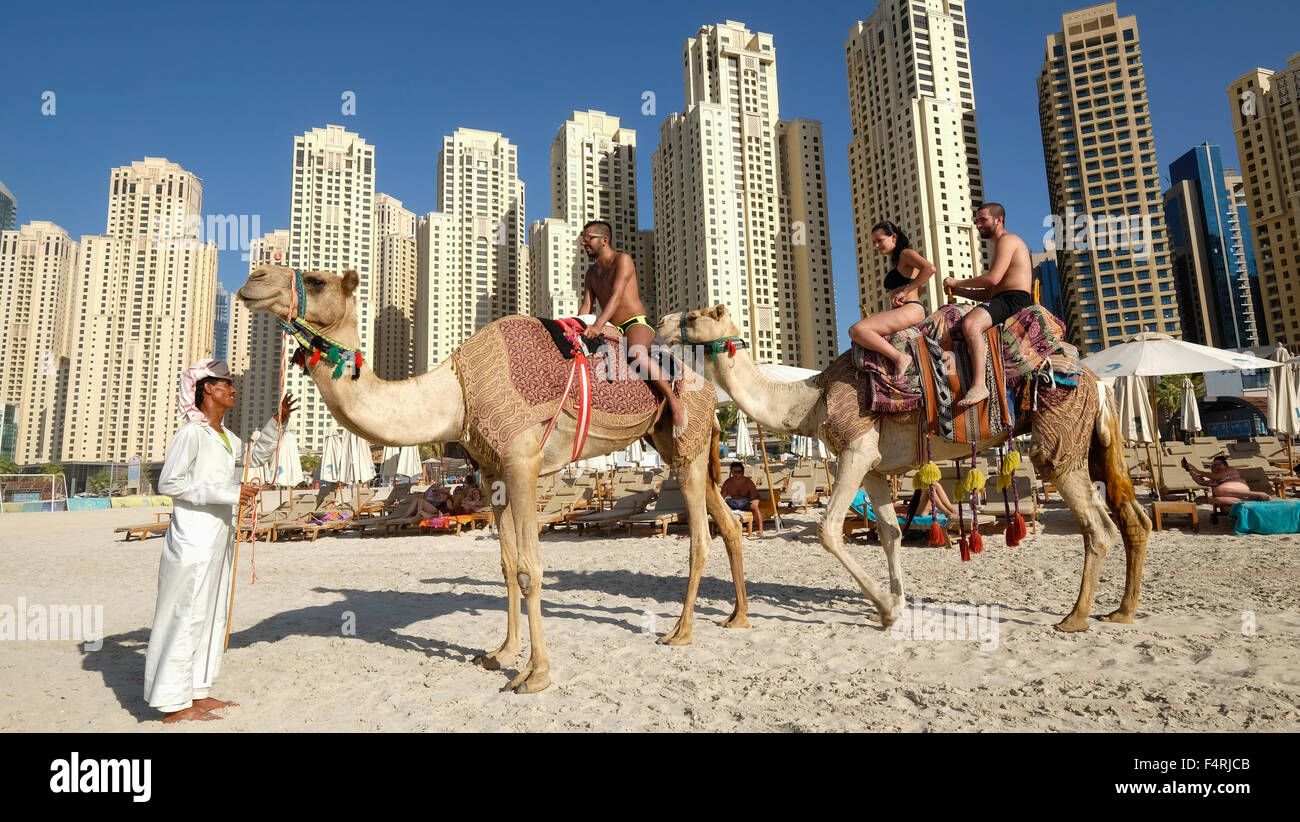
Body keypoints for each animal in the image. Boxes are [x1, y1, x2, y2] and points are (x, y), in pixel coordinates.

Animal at [239, 266, 754, 691]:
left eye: (316, 280)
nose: (253, 277)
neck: (459, 393)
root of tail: (710, 391)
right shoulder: (492, 474)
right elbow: (506, 566)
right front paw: (502, 653)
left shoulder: (522, 462)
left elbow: (529, 569)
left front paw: (535, 674)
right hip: (675, 447)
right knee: (728, 524)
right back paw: (737, 617)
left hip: (685, 445)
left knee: (699, 537)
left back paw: (681, 632)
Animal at [665, 305, 1154, 632]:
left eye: (697, 315)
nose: (665, 323)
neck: (810, 401)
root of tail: (1098, 382)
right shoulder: (875, 468)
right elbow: (889, 532)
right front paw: (895, 607)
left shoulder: (855, 449)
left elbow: (829, 529)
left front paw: (884, 608)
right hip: (1094, 440)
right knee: (1132, 516)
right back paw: (1122, 611)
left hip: (1060, 430)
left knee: (1095, 523)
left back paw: (1075, 617)